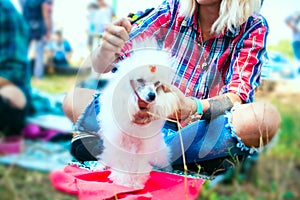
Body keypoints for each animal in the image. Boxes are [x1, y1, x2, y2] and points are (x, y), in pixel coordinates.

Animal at [97, 48, 179, 189]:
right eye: (140, 80)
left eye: (157, 83)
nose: (152, 96)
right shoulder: (121, 142)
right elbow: (122, 162)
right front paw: (123, 181)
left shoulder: (143, 145)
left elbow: (138, 165)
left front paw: (136, 183)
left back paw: (167, 168)